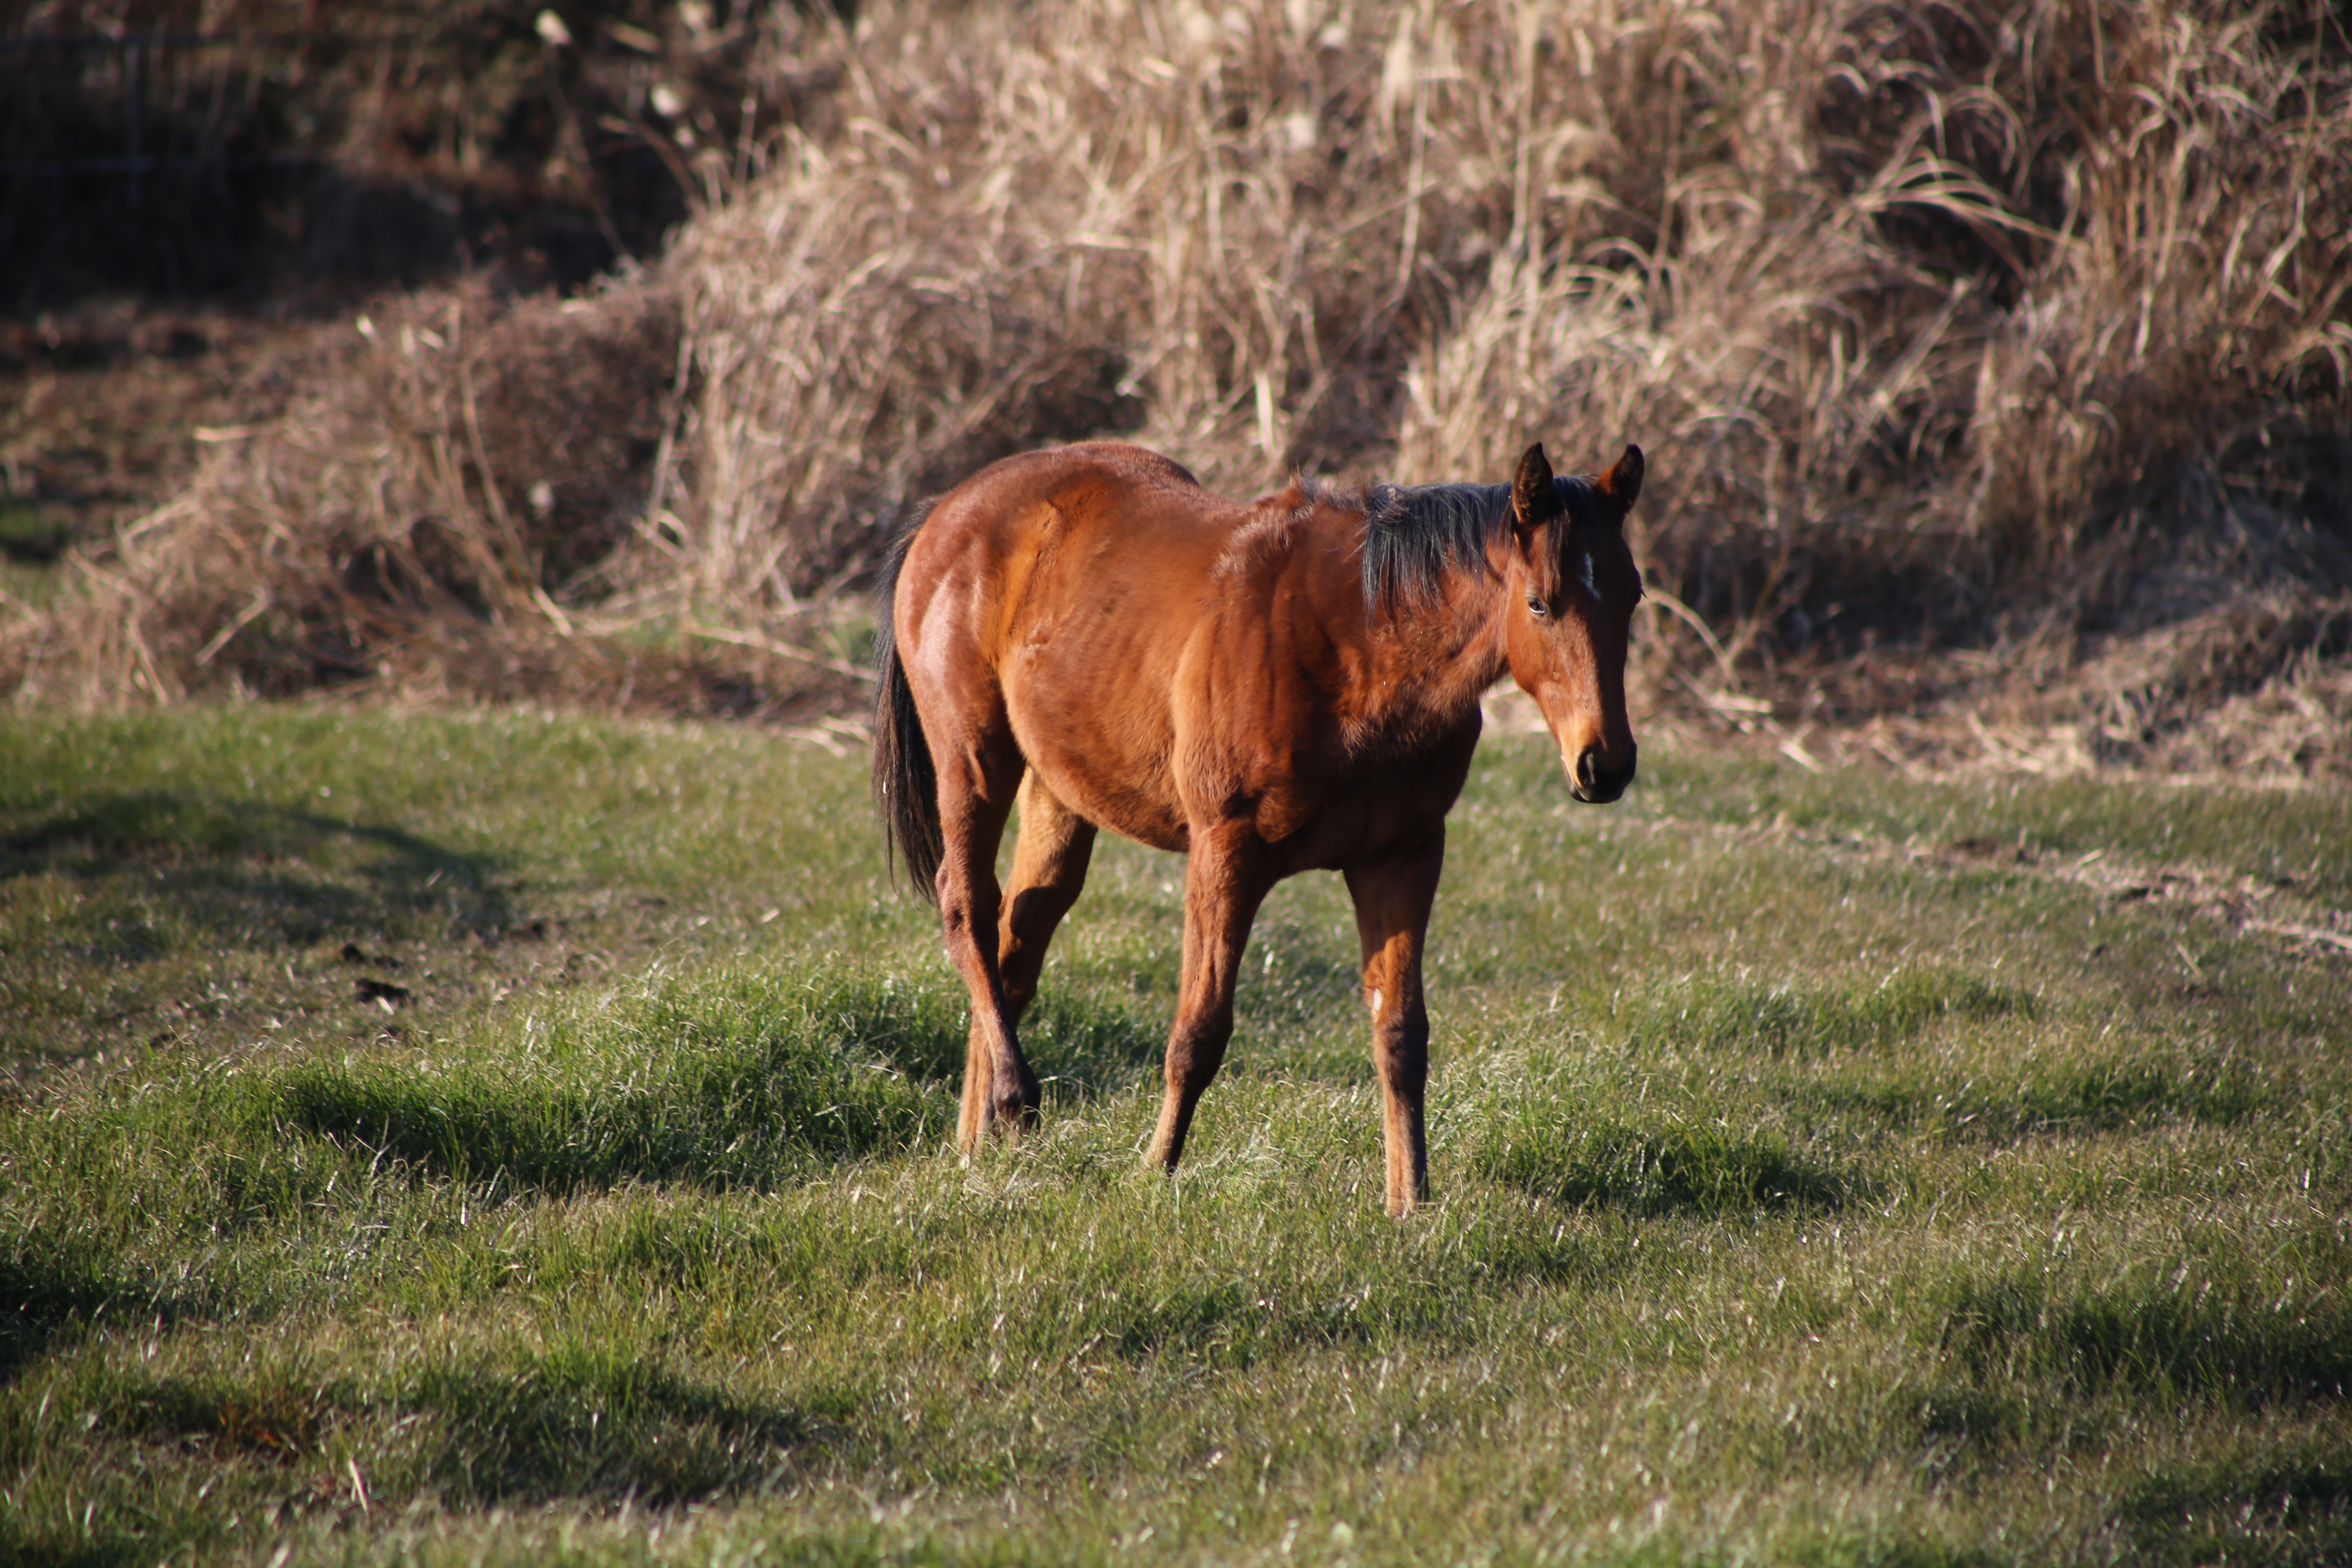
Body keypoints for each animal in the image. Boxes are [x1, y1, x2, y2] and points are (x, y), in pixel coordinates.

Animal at [875, 439, 1646, 1213]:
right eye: (1540, 602)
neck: (1359, 646)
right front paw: (1153, 1174)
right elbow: (1199, 1033)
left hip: (1060, 793)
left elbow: (1401, 1036)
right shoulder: (1227, 852)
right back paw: (1015, 1097)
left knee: (1018, 940)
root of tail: (948, 512)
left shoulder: (1402, 857)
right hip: (975, 760)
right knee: (968, 909)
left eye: (1633, 595)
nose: (1605, 765)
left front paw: (1410, 1203)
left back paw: (977, 1144)